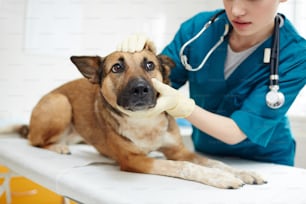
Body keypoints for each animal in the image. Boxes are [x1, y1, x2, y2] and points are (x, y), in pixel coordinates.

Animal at [8, 42, 266, 189]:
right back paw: (57, 146)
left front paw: (242, 172)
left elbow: (214, 162)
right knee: (34, 140)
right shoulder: (135, 160)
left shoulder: (178, 151)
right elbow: (185, 166)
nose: (140, 88)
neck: (145, 121)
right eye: (117, 67)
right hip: (60, 103)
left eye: (150, 65)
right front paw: (221, 178)